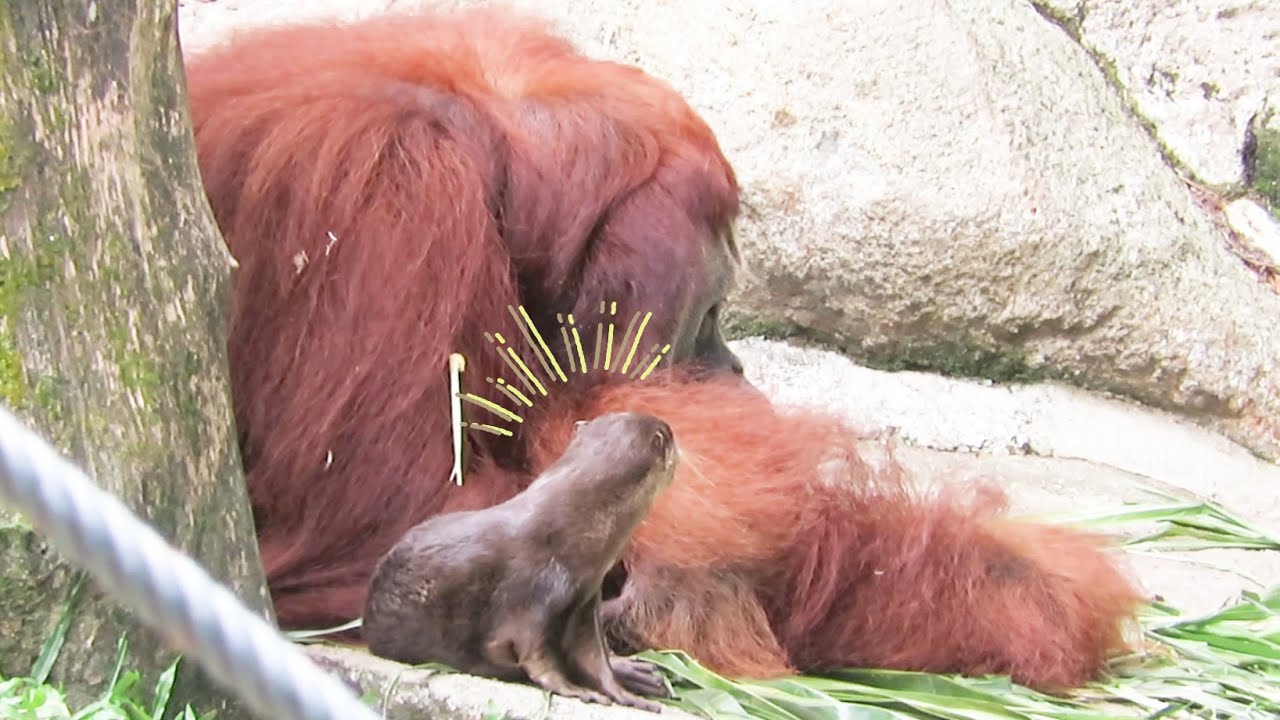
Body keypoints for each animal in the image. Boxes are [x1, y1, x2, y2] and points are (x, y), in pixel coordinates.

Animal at [363, 412, 679, 711]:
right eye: (671, 437)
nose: (679, 444)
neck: (569, 532)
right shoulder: (528, 600)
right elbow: (536, 657)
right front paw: (575, 690)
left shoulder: (584, 604)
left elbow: (594, 659)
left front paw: (625, 694)